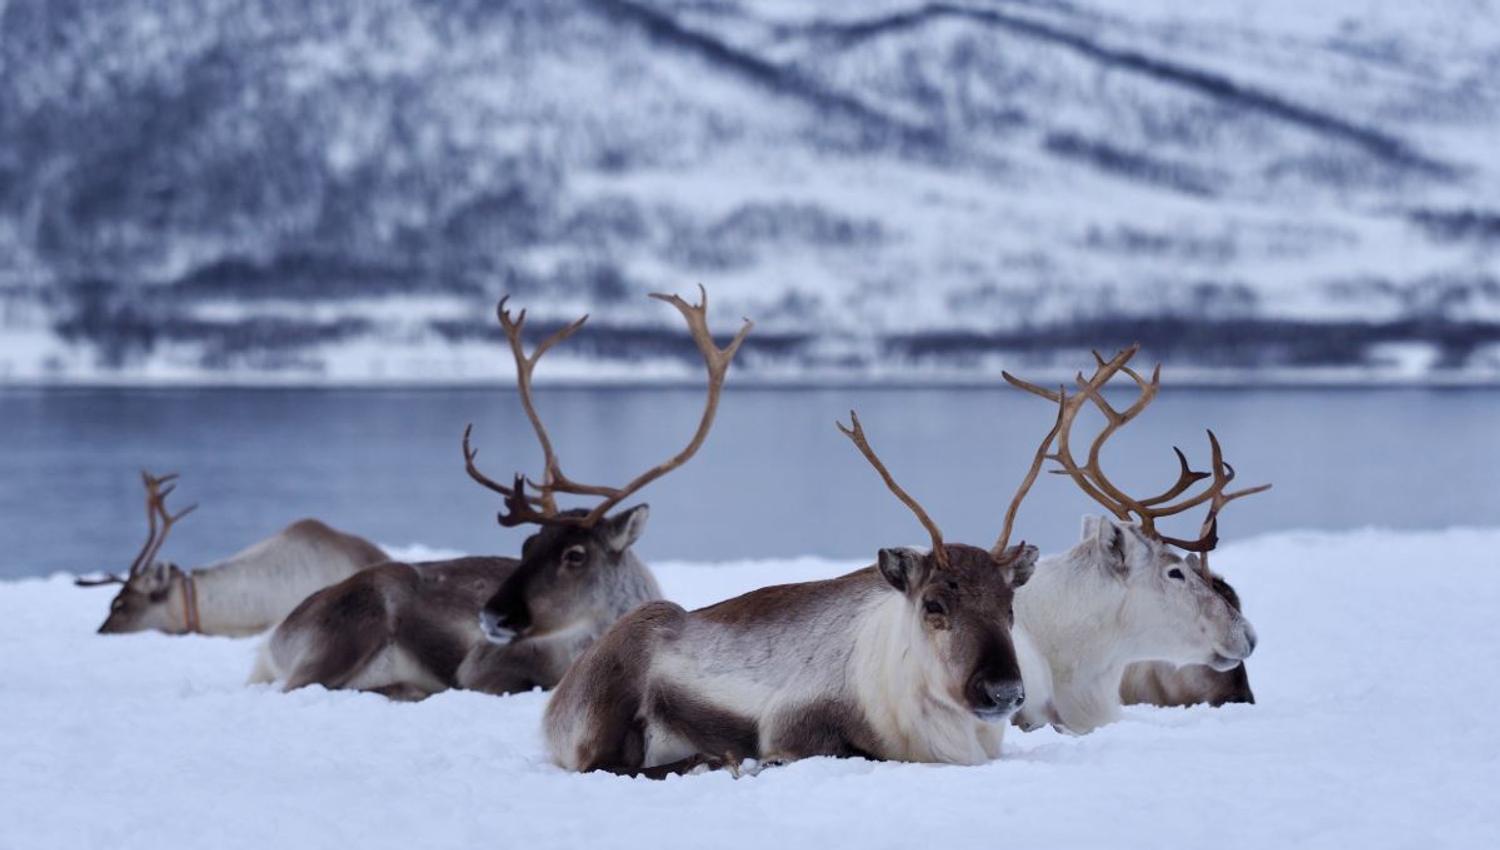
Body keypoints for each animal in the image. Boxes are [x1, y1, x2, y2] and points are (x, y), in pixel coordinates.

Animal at [250, 287, 751, 700]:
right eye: (527, 544)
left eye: (575, 554)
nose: (492, 617)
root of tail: (273, 639)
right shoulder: (480, 668)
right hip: (354, 625)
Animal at [542, 400, 1059, 777]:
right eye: (934, 603)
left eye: (1009, 606)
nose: (1003, 692)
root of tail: (551, 715)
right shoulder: (791, 726)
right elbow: (842, 751)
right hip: (614, 690)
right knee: (604, 765)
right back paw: (705, 761)